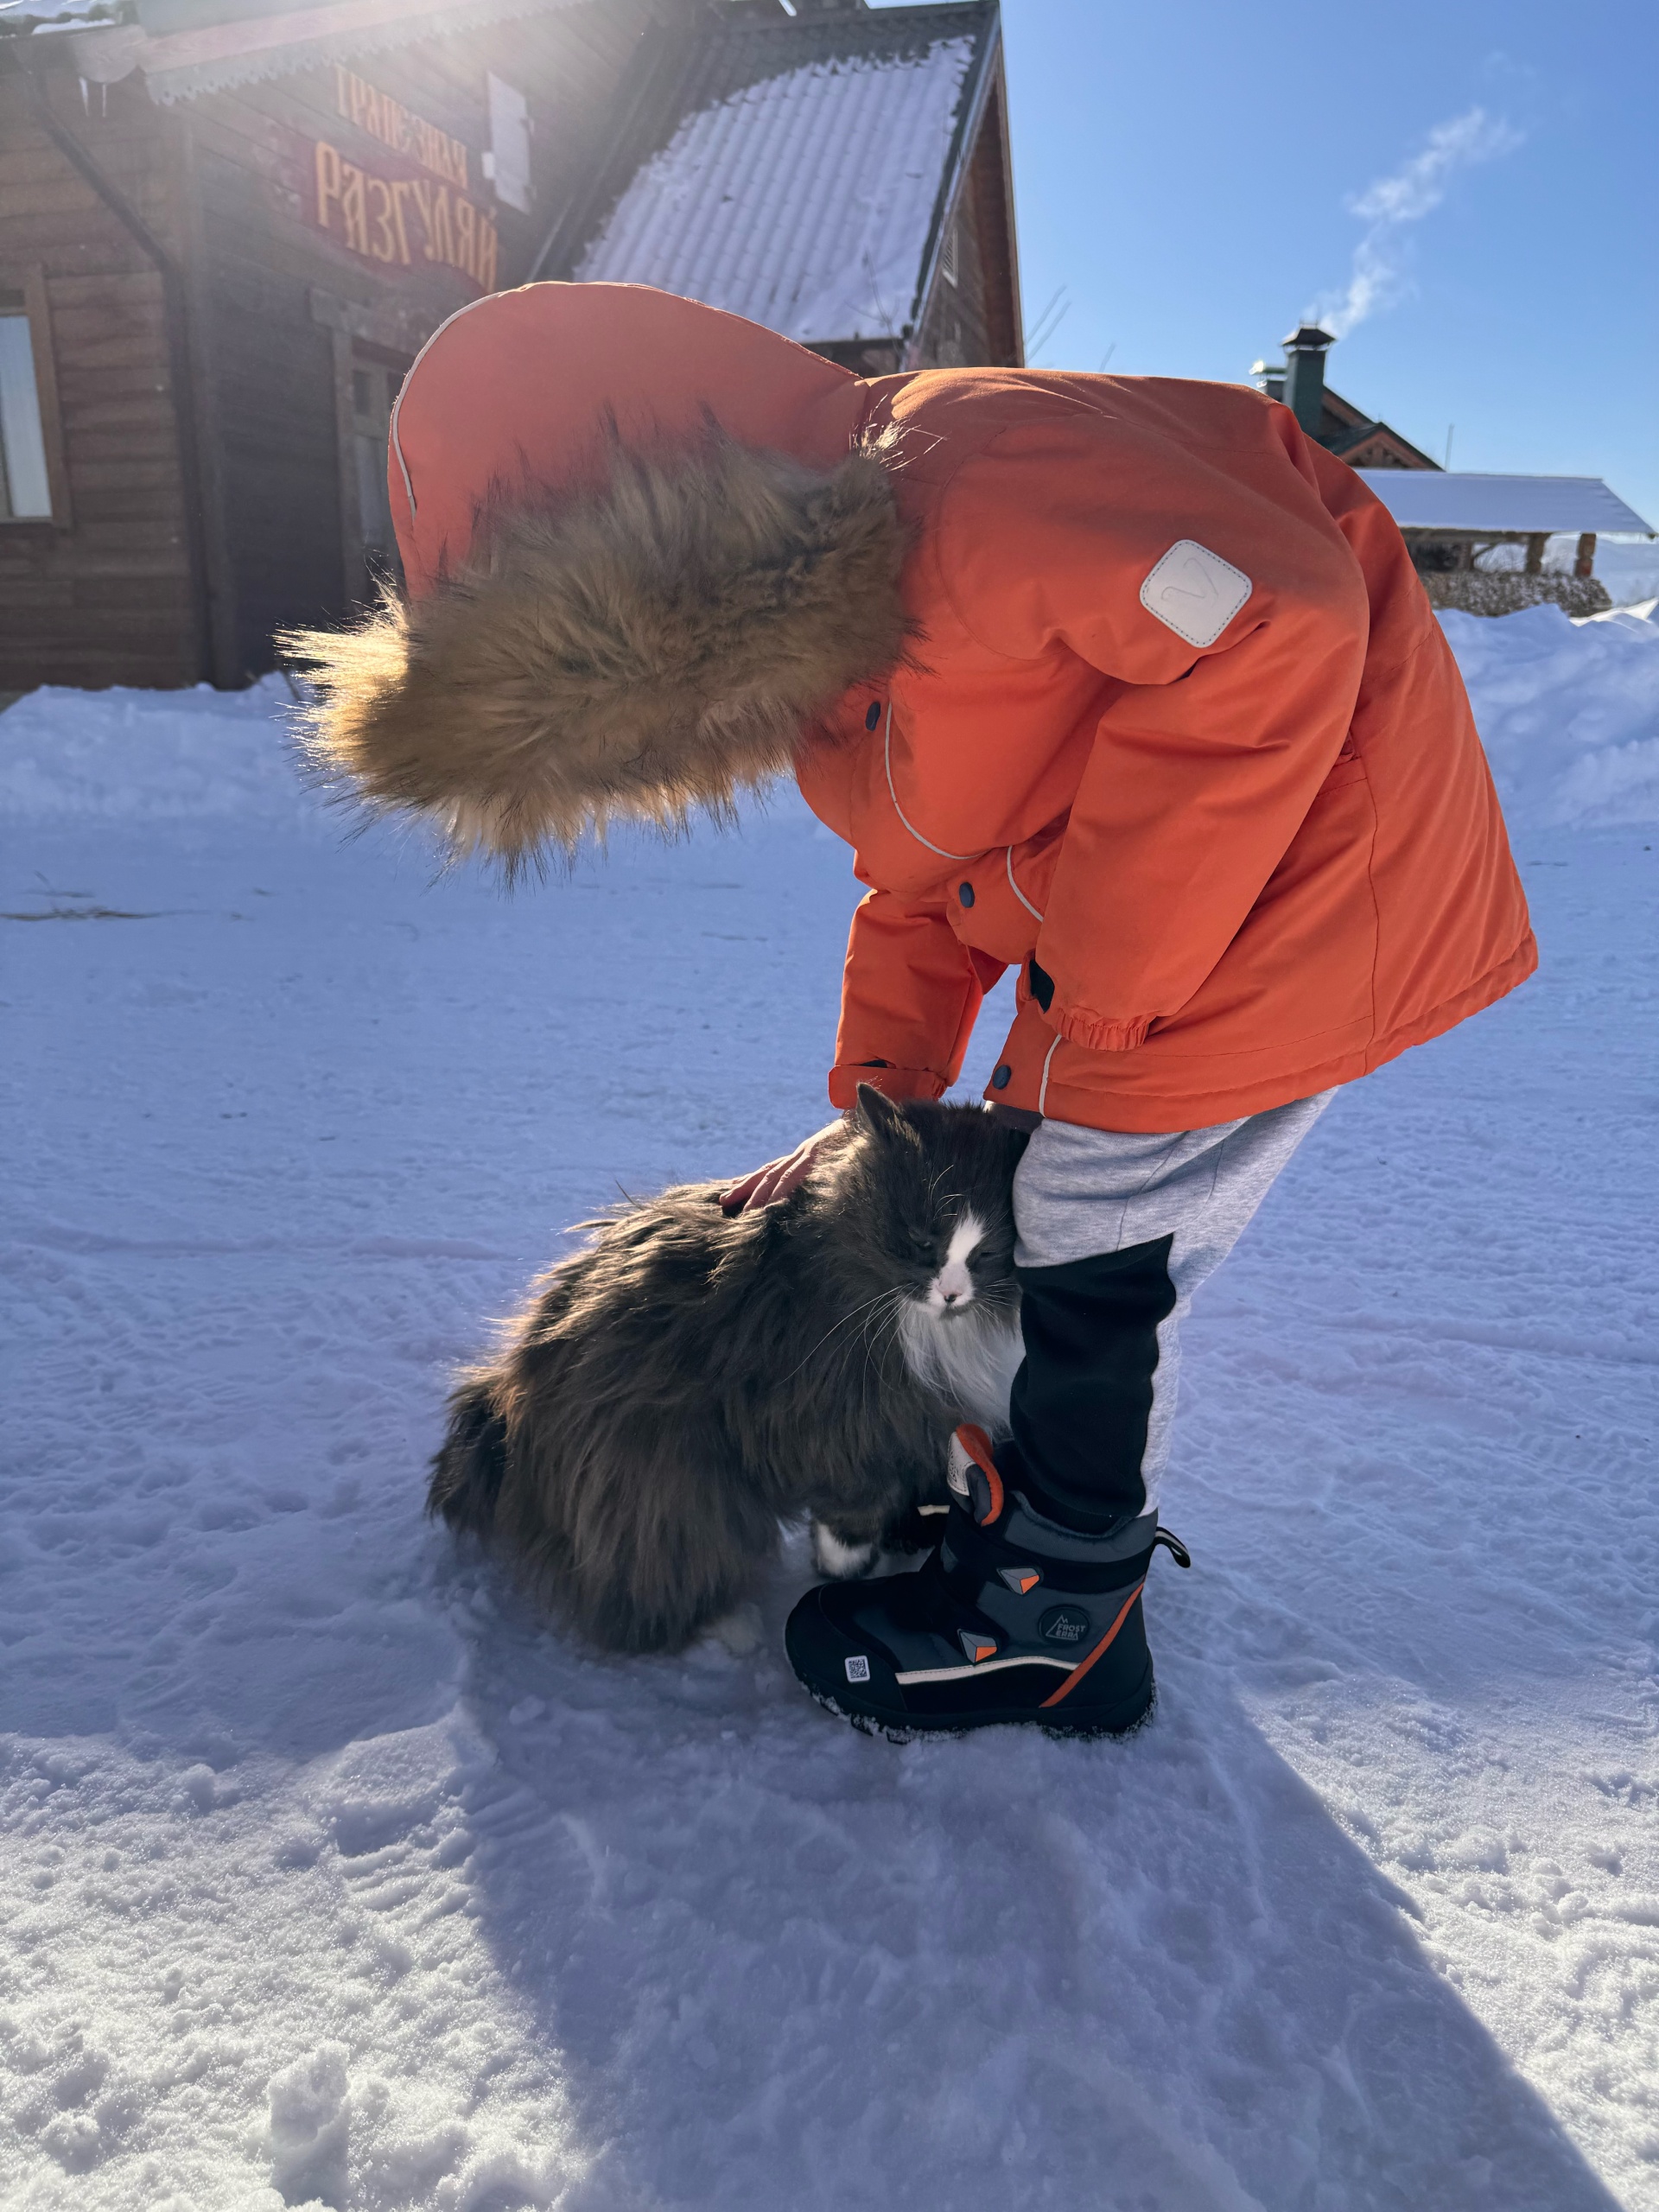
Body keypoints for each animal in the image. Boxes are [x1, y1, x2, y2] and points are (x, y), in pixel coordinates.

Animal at [429, 1088, 1026, 1645]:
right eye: (923, 1241)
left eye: (986, 1255)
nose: (951, 1293)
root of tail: (509, 1411)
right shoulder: (835, 1419)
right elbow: (851, 1512)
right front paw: (843, 1572)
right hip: (664, 1487)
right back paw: (729, 1630)